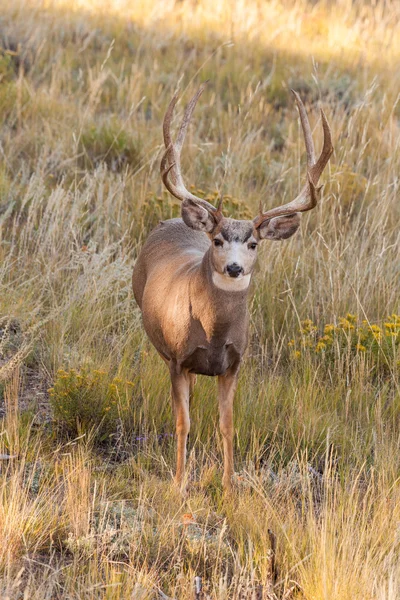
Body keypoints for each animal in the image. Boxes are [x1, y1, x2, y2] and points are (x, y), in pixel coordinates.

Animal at [133, 84, 332, 492]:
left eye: (253, 243)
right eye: (219, 240)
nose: (235, 267)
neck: (213, 332)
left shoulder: (234, 364)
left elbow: (227, 426)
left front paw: (228, 485)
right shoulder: (178, 359)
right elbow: (183, 423)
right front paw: (179, 482)